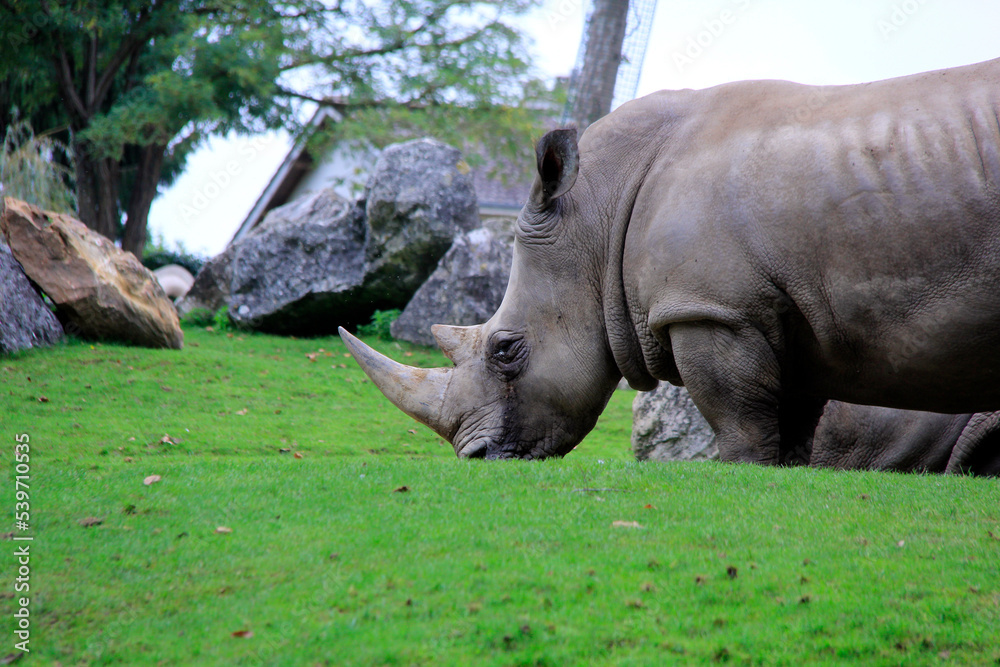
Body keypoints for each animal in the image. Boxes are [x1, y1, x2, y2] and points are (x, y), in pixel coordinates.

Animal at [340, 57, 1000, 464]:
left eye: (506, 350)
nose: (474, 458)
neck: (596, 215)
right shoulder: (790, 316)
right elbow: (791, 434)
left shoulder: (713, 308)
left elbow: (741, 425)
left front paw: (746, 477)